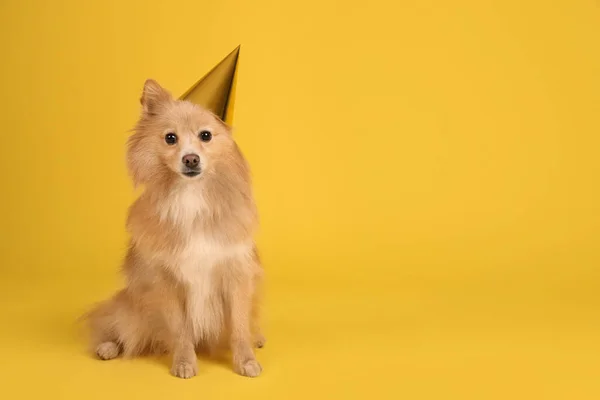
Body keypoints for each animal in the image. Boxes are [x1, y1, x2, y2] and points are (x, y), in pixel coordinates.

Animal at [84, 79, 264, 380]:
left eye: (206, 135)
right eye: (170, 138)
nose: (191, 159)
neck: (190, 196)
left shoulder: (235, 275)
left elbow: (239, 327)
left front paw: (246, 360)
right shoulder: (165, 280)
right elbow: (180, 331)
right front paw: (184, 362)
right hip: (132, 308)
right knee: (118, 327)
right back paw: (107, 347)